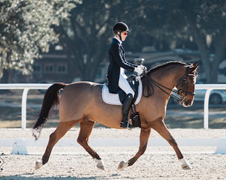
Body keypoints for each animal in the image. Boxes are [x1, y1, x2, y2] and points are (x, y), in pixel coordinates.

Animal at [32, 61, 199, 171]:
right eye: (190, 80)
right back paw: (40, 163)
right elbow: (172, 140)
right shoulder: (156, 122)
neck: (153, 90)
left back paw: (100, 163)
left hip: (87, 121)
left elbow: (142, 148)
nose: (189, 102)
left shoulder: (147, 126)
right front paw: (185, 163)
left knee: (82, 140)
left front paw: (124, 164)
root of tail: (67, 86)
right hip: (69, 120)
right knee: (54, 137)